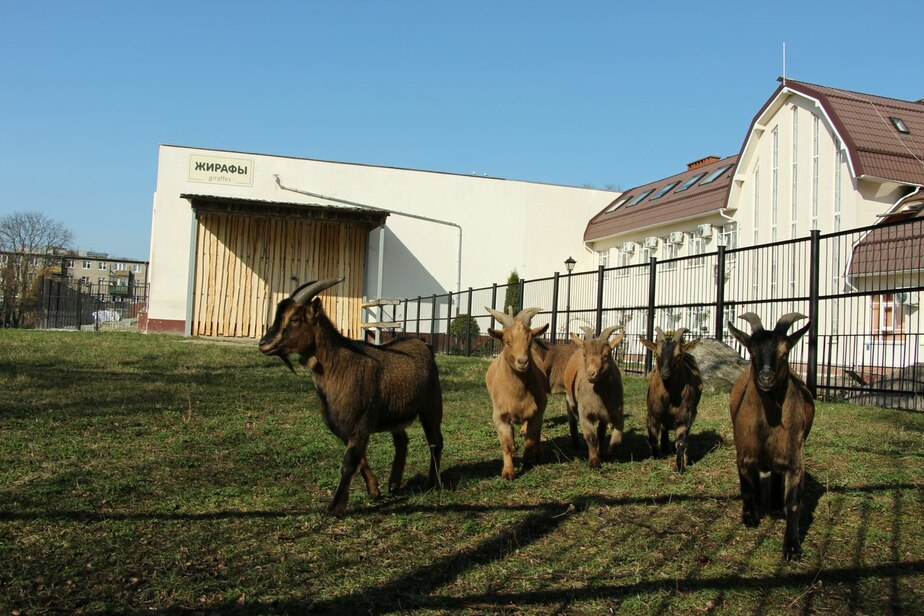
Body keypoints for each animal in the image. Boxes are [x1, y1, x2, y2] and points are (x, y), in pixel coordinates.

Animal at [258, 280, 446, 516]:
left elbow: (349, 462)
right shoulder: (344, 427)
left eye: (294, 318)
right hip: (394, 417)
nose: (264, 343)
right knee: (402, 441)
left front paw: (335, 506)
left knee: (435, 441)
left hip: (431, 406)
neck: (339, 366)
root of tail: (423, 344)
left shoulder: (360, 422)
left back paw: (433, 482)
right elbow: (360, 459)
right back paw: (394, 484)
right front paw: (374, 491)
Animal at [484, 306, 548, 478]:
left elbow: (530, 440)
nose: (523, 362)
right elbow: (505, 444)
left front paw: (528, 461)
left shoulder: (536, 412)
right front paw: (508, 472)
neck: (518, 394)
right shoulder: (499, 415)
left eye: (530, 340)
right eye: (506, 341)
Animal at [560, 328, 624, 466]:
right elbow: (591, 437)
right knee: (572, 420)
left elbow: (616, 436)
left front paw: (608, 452)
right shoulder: (585, 412)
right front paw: (594, 461)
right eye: (585, 355)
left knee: (601, 430)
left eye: (606, 355)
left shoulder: (615, 411)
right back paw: (576, 444)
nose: (591, 374)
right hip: (569, 400)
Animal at [640, 324, 704, 474]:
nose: (665, 372)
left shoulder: (684, 417)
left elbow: (681, 442)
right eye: (657, 354)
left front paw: (679, 467)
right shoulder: (652, 415)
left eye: (678, 355)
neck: (668, 399)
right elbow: (653, 437)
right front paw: (655, 457)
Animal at [728, 310, 816, 560]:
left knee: (777, 475)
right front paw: (750, 518)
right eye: (752, 351)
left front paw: (792, 547)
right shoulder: (743, 455)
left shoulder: (795, 459)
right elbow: (747, 489)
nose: (766, 378)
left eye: (784, 353)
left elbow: (793, 503)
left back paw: (775, 500)